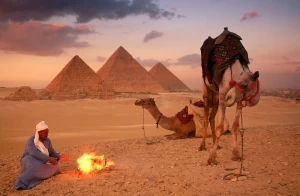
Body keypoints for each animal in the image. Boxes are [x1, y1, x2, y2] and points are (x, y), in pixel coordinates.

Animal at [199, 27, 260, 165]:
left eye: (244, 85)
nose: (229, 97)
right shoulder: (223, 96)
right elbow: (220, 126)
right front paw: (211, 157)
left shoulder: (239, 99)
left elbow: (235, 126)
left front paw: (236, 154)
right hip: (207, 92)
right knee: (205, 119)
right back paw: (202, 145)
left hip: (216, 98)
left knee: (211, 118)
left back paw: (216, 144)